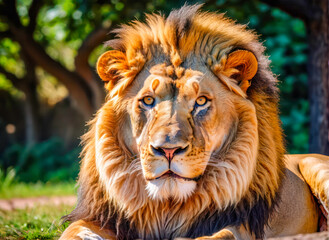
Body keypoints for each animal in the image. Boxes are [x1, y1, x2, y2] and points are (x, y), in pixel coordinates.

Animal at [59, 4, 328, 240]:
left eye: (201, 101)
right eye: (148, 100)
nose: (168, 150)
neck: (168, 205)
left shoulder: (241, 223)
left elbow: (219, 235)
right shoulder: (102, 218)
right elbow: (73, 232)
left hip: (316, 167)